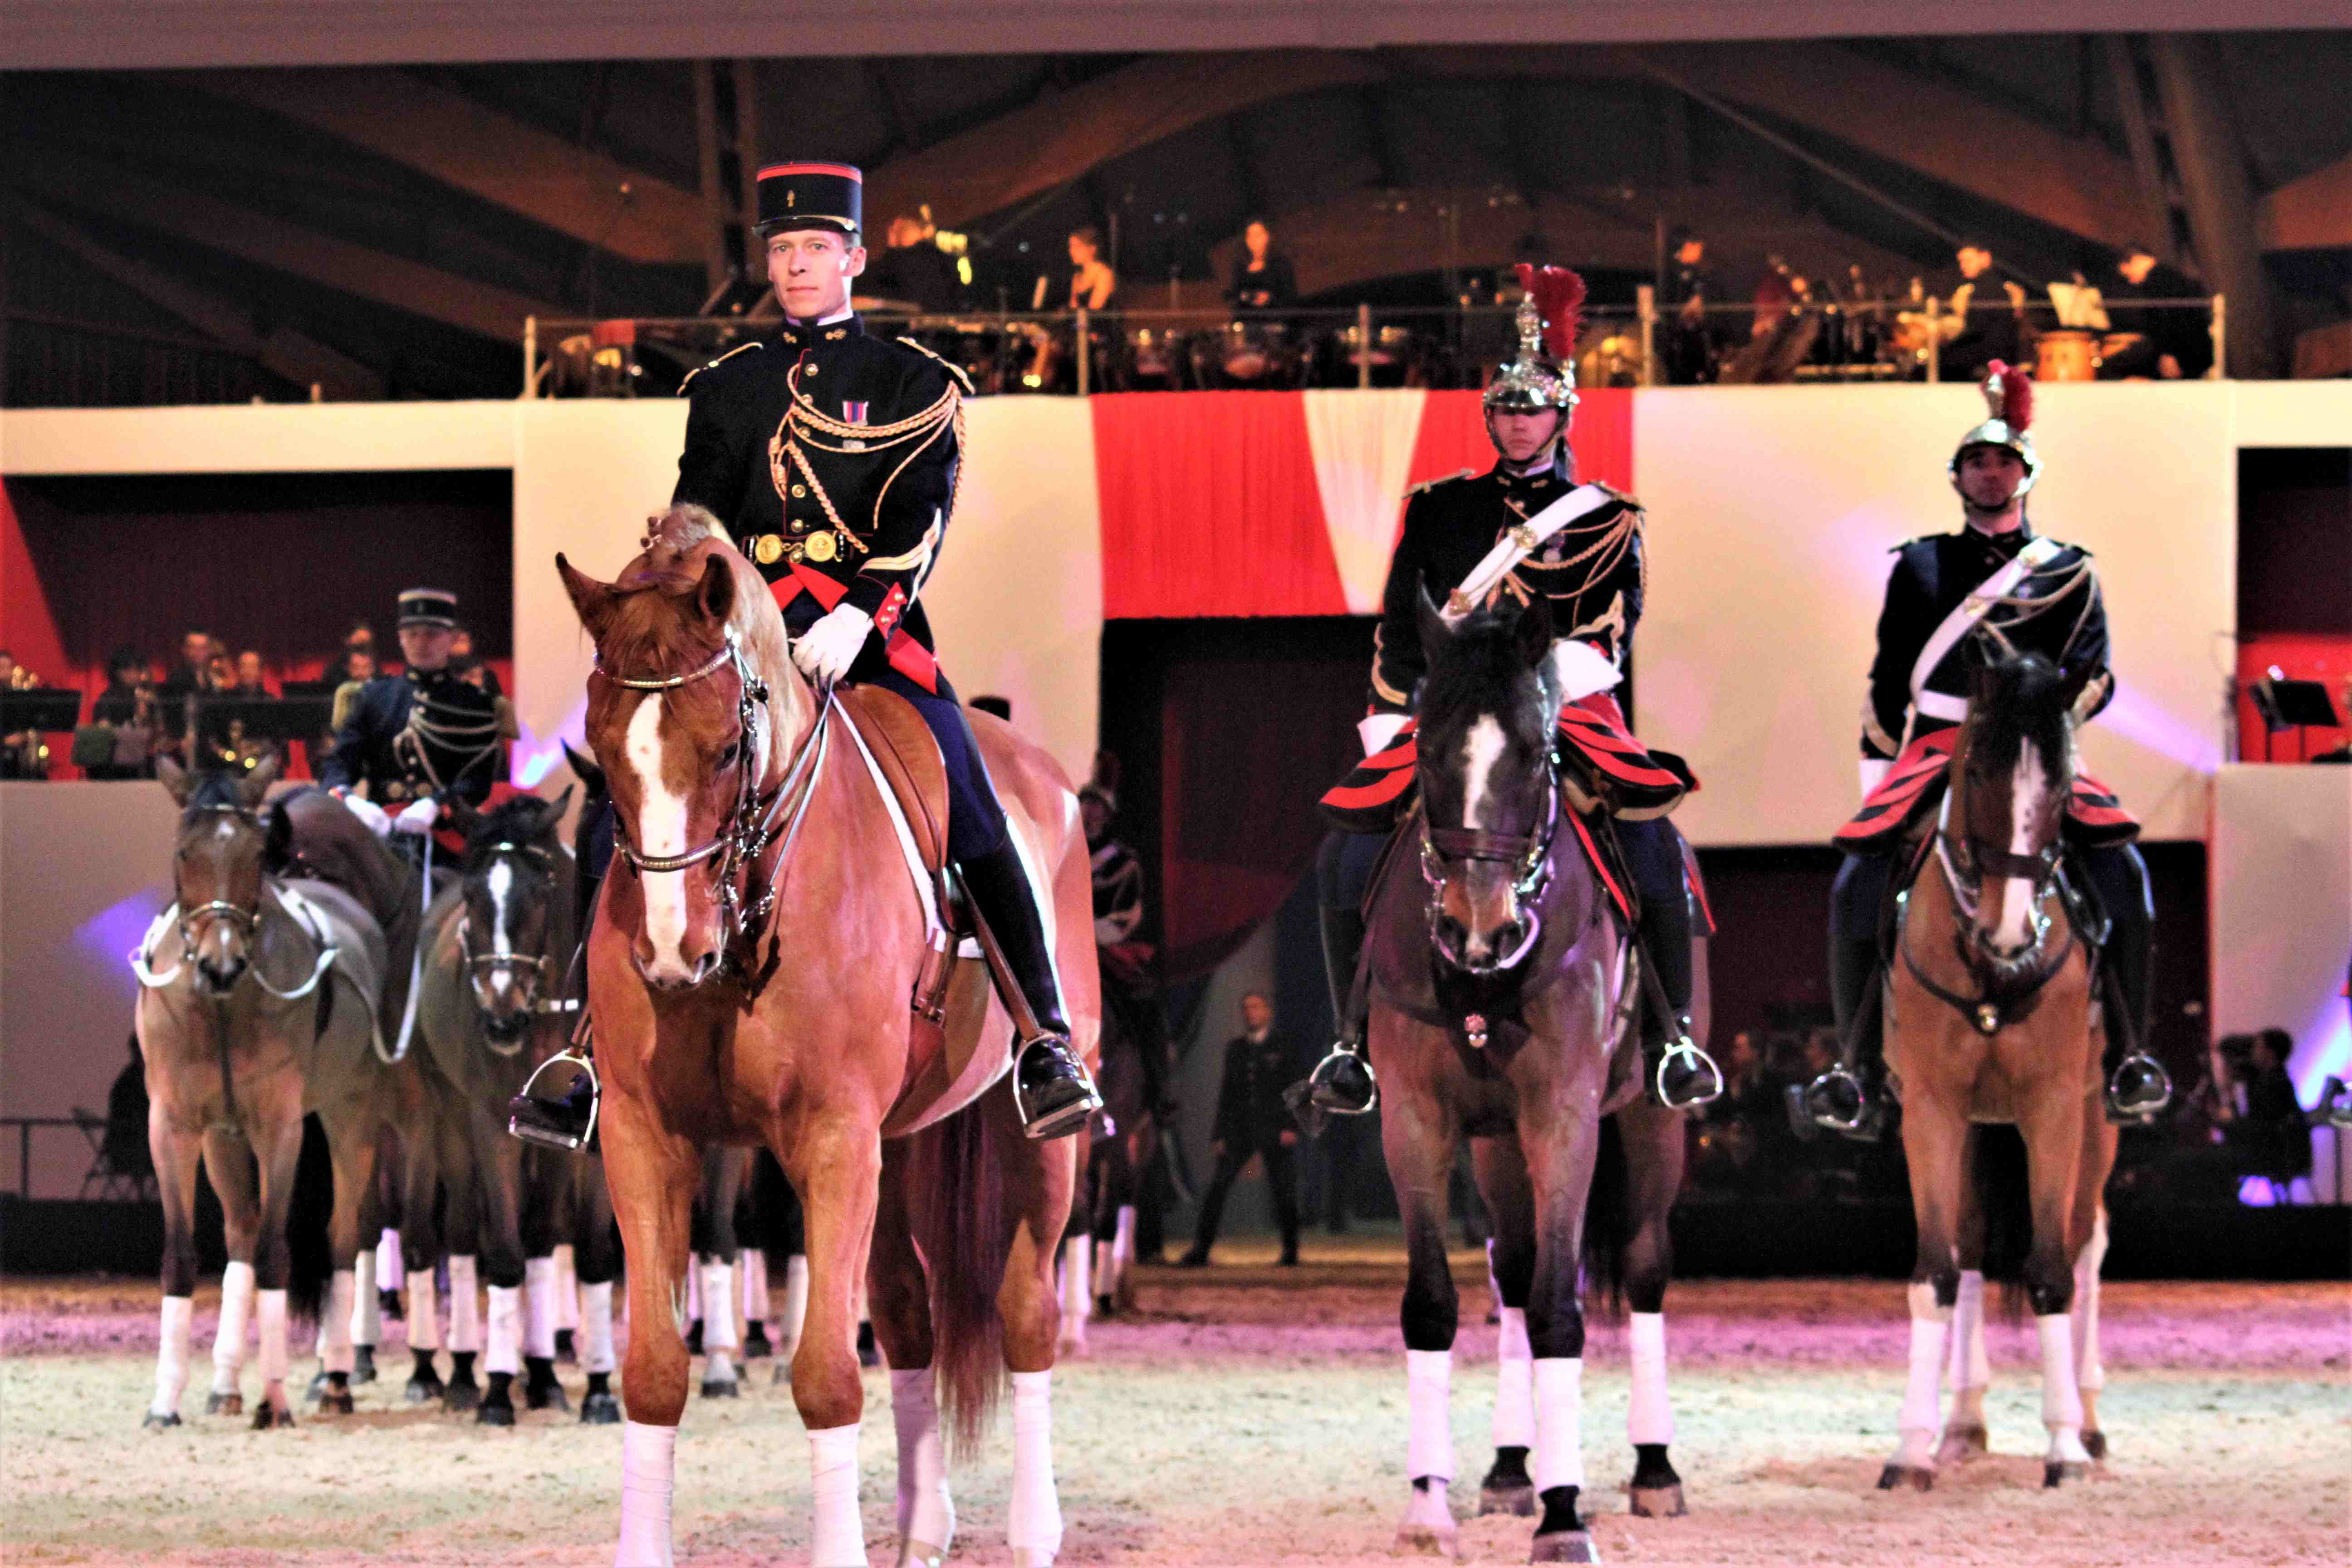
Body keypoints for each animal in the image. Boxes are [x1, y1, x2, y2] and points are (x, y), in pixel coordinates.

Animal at [136, 761, 418, 1439]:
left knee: (344, 1234)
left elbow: (275, 1252)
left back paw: (337, 1377)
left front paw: (277, 1399)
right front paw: (166, 1402)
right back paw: (225, 1384)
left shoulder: (281, 1129)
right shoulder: (175, 1128)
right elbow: (183, 1254)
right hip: (223, 1140)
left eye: (254, 855)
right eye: (184, 853)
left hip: (350, 1119)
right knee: (240, 1229)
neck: (219, 1008)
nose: (221, 964)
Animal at [562, 510, 1101, 1561]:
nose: (670, 951)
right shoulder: (646, 1137)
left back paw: (1032, 1529)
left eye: (725, 749)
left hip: (1032, 1138)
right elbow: (654, 1369)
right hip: (894, 1143)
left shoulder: (833, 1138)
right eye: (604, 756)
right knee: (906, 1319)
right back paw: (923, 1526)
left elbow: (824, 1378)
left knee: (1025, 1316)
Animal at [1364, 594, 1712, 1561]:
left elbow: (1563, 1306)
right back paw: (1510, 1466)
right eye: (1425, 746)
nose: (1475, 924)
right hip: (1494, 1145)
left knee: (1641, 1267)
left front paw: (1564, 1516)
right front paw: (1427, 1503)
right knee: (1512, 1272)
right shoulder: (1415, 1121)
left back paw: (1653, 1468)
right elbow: (1434, 1303)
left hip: (1651, 1124)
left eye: (1532, 748)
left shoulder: (1564, 1118)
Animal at [1872, 649, 2117, 1495]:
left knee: (2085, 1242)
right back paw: (1963, 1421)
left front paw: (2063, 1446)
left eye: (2064, 785)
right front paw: (1911, 1448)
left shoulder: (2054, 1108)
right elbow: (1935, 1273)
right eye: (1975, 768)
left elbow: (2050, 1270)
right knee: (1974, 1247)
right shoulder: (1932, 1111)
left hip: (2096, 1122)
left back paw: (2088, 1418)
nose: (2010, 933)